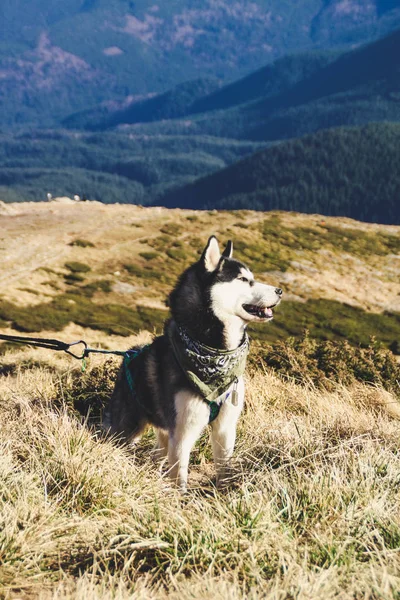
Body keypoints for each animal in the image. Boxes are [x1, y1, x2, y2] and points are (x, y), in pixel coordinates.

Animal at [104, 237, 282, 490]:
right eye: (243, 279)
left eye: (252, 278)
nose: (280, 291)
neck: (215, 352)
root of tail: (129, 356)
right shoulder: (182, 432)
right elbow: (180, 478)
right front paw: (179, 497)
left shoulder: (225, 428)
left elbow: (224, 469)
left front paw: (224, 493)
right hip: (127, 429)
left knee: (157, 455)